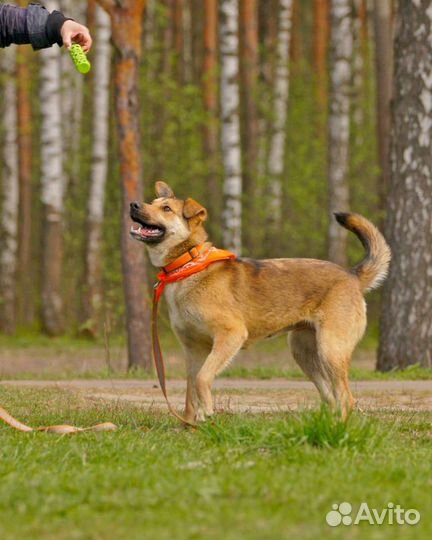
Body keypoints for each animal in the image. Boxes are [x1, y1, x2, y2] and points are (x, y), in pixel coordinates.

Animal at [129, 181, 392, 422]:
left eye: (166, 208)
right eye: (152, 202)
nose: (133, 204)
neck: (189, 264)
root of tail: (352, 275)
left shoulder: (230, 335)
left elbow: (203, 379)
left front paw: (207, 412)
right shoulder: (193, 349)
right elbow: (190, 392)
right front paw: (191, 426)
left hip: (330, 350)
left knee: (346, 398)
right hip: (304, 353)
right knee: (331, 397)